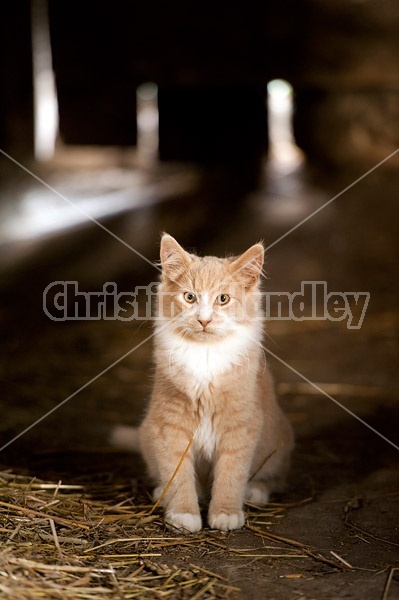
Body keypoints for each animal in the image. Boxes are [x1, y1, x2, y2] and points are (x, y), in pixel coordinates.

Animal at [112, 232, 294, 532]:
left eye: (223, 299)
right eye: (189, 297)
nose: (204, 320)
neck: (205, 353)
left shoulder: (241, 425)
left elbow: (231, 474)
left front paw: (226, 513)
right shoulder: (170, 424)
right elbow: (177, 473)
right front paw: (183, 513)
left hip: (278, 442)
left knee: (273, 478)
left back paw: (255, 491)